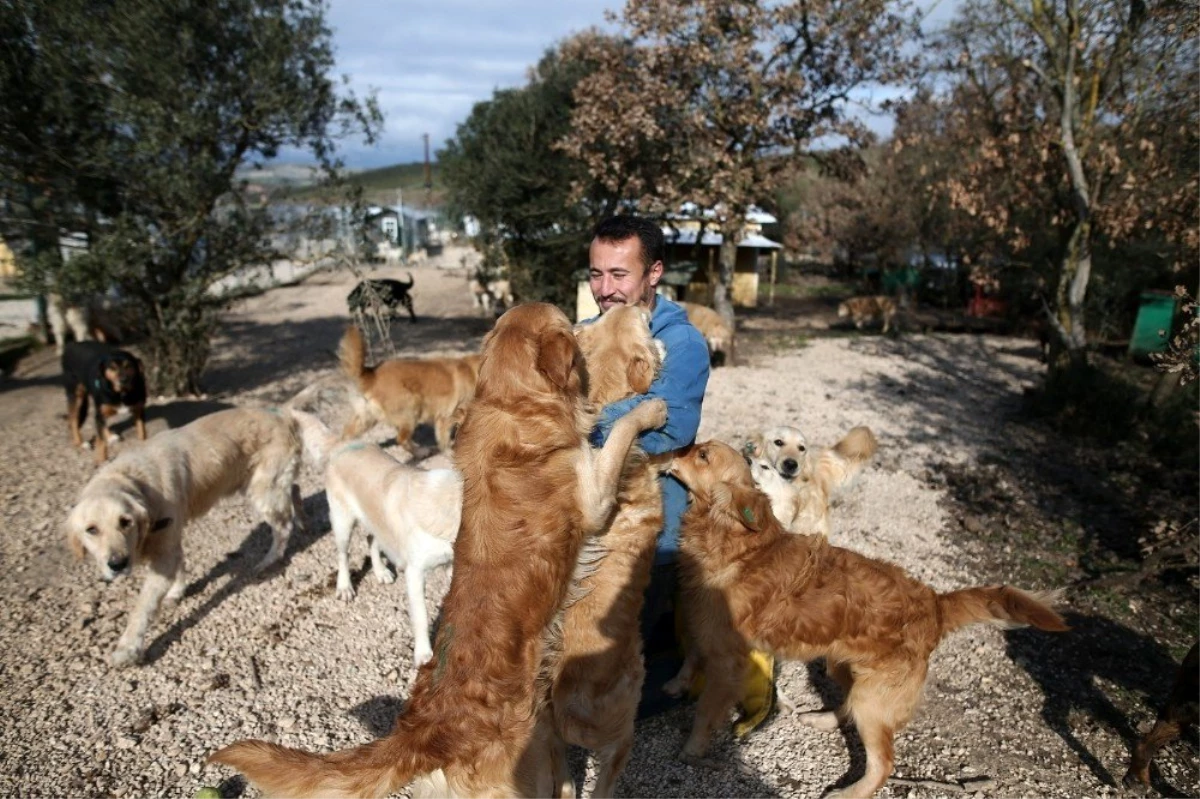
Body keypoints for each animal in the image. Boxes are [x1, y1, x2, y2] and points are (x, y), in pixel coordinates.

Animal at [62, 407, 307, 662]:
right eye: (91, 529)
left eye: (125, 522)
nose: (117, 564)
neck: (137, 483)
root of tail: (283, 413)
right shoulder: (170, 542)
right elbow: (179, 566)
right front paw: (177, 592)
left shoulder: (164, 552)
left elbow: (142, 607)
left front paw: (128, 647)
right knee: (294, 490)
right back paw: (301, 519)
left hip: (262, 492)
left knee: (283, 527)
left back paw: (269, 559)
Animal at [290, 410, 458, 667]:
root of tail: (341, 443)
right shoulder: (415, 574)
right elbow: (421, 616)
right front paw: (423, 654)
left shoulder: (452, 565)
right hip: (342, 522)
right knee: (343, 554)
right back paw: (345, 587)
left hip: (375, 520)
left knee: (372, 541)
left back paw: (380, 572)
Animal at [336, 321, 480, 451]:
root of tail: (371, 374)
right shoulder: (447, 416)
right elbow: (446, 441)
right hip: (412, 408)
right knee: (402, 439)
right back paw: (421, 452)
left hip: (366, 419)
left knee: (346, 436)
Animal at [667, 439, 1070, 791]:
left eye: (702, 455)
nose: (673, 447)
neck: (735, 544)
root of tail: (934, 602)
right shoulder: (702, 626)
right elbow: (690, 656)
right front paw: (676, 684)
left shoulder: (728, 660)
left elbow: (706, 713)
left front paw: (692, 751)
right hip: (844, 669)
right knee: (847, 707)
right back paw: (822, 718)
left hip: (872, 699)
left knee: (882, 765)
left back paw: (847, 793)